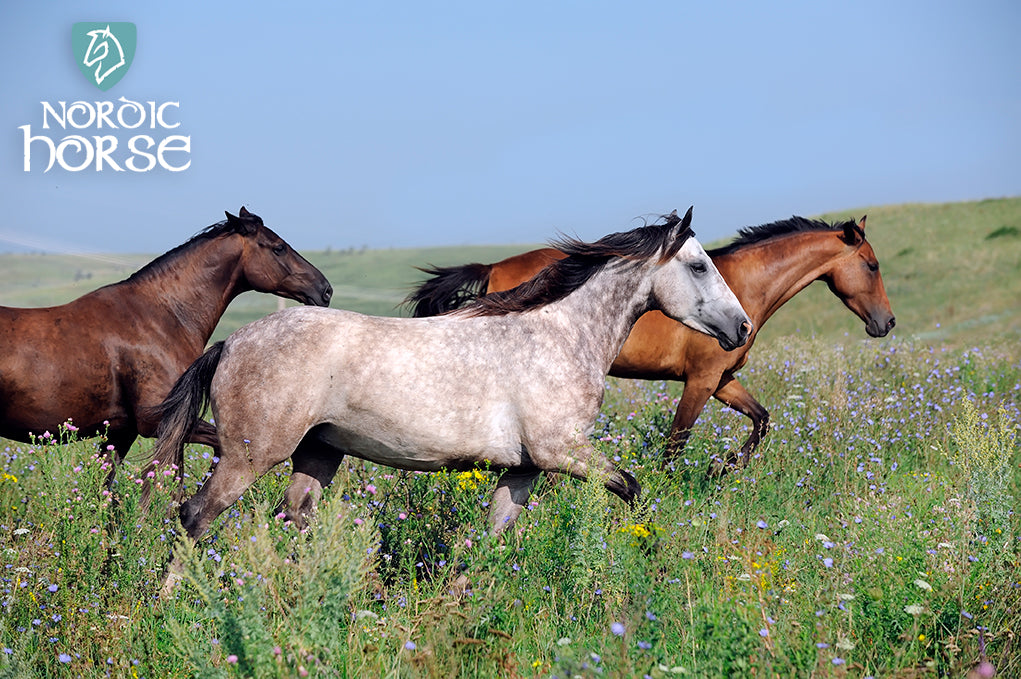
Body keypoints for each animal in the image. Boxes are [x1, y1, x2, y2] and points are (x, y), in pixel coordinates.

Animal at [143, 204, 751, 555]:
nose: (741, 327)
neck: (558, 336)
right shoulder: (562, 452)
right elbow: (633, 490)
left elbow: (487, 543)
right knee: (194, 517)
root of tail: (231, 342)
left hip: (318, 454)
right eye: (700, 265)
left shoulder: (524, 469)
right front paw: (650, 555)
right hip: (250, 456)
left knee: (291, 520)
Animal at [406, 215, 894, 471]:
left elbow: (762, 420)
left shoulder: (723, 380)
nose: (886, 323)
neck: (743, 289)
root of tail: (493, 267)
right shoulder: (700, 381)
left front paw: (725, 466)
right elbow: (675, 443)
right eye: (871, 265)